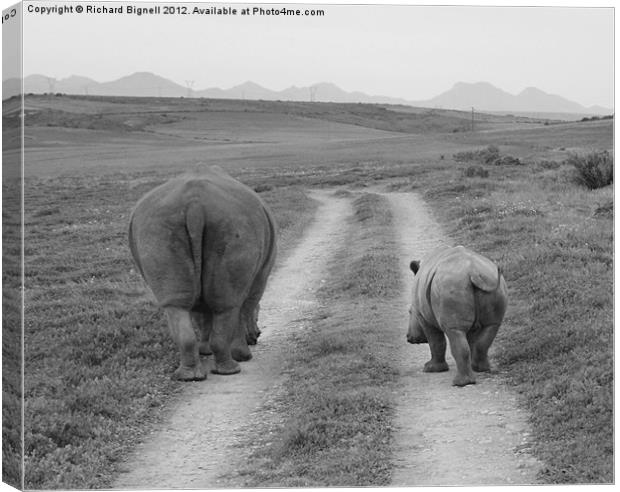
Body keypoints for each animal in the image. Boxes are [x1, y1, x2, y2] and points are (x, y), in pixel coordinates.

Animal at [128, 167, 276, 382]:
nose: (258, 335)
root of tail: (194, 206)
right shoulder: (260, 277)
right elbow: (246, 308)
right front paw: (244, 355)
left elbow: (202, 315)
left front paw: (205, 350)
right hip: (234, 224)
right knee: (228, 305)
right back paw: (232, 368)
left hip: (156, 227)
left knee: (177, 305)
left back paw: (188, 376)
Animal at [406, 244, 508, 386]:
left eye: (410, 312)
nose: (408, 338)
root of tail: (473, 273)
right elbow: (471, 340)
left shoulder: (423, 317)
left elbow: (435, 341)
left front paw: (430, 369)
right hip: (492, 284)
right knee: (491, 327)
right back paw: (480, 369)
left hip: (451, 287)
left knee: (454, 331)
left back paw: (460, 383)